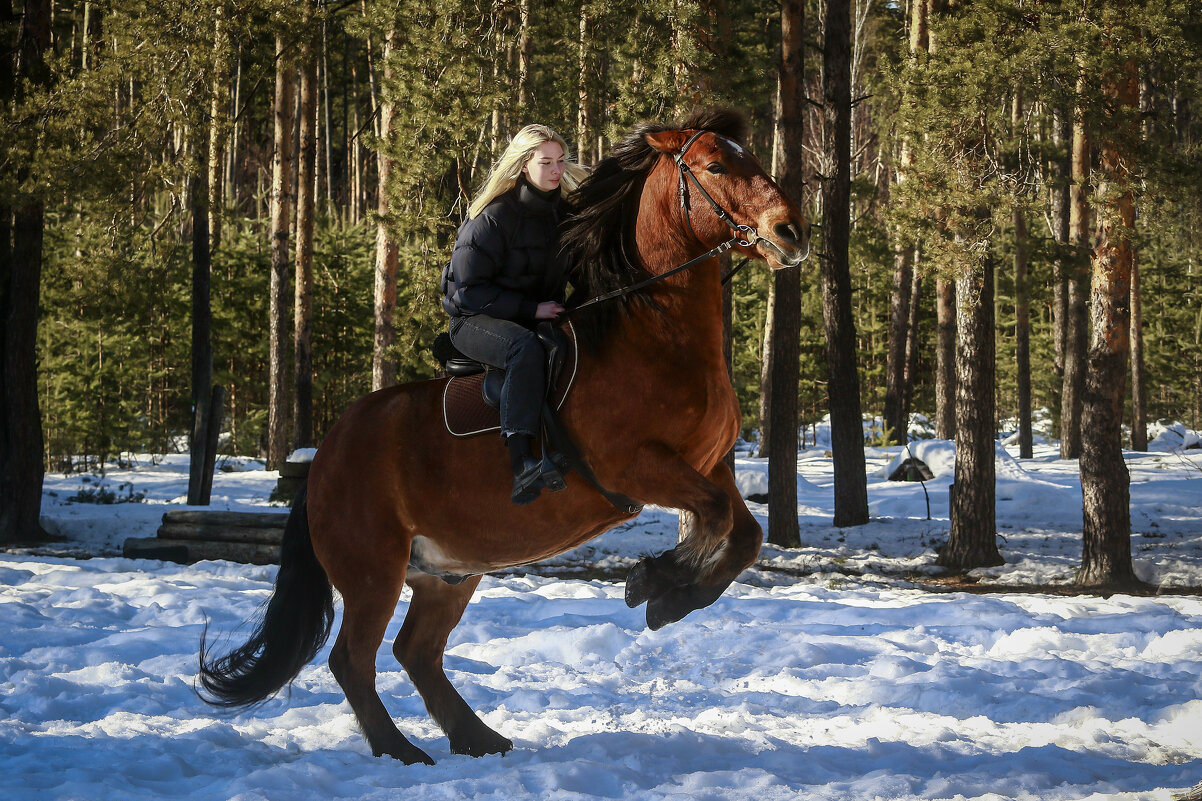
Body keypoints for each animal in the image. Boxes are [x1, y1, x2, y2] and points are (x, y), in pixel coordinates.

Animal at [201, 105, 812, 760]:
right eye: (716, 165)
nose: (791, 232)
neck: (651, 338)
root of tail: (323, 457)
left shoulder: (709, 464)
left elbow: (743, 535)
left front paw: (672, 598)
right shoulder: (638, 467)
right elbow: (717, 520)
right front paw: (653, 581)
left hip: (448, 572)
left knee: (415, 652)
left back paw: (478, 737)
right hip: (373, 571)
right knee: (353, 659)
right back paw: (400, 750)